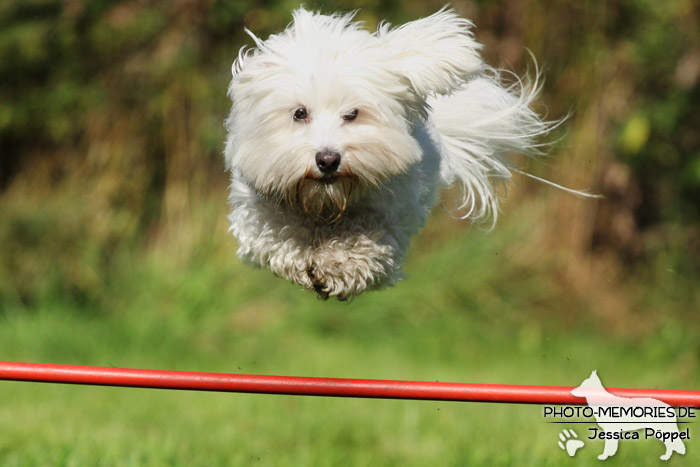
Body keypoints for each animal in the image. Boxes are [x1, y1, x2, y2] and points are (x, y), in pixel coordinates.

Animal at [226, 7, 580, 300]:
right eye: (299, 113)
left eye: (353, 114)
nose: (328, 160)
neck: (325, 203)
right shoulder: (257, 210)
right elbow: (277, 233)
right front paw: (303, 258)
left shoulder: (392, 211)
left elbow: (366, 238)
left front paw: (338, 265)